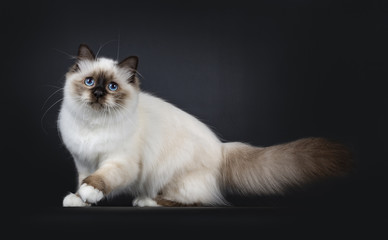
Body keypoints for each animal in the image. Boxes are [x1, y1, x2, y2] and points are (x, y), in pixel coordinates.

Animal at [59, 43, 352, 206]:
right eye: (89, 82)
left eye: (111, 87)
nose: (98, 94)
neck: (93, 124)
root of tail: (220, 148)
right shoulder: (82, 161)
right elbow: (82, 180)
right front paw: (78, 199)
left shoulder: (120, 162)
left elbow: (101, 179)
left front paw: (89, 193)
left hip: (170, 177)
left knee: (195, 200)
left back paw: (146, 202)